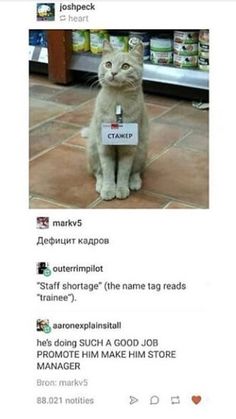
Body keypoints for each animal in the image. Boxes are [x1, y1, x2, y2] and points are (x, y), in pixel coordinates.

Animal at [85, 40, 148, 201]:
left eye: (125, 66)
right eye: (108, 64)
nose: (113, 72)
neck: (117, 102)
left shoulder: (129, 148)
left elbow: (124, 172)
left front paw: (121, 188)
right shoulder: (104, 147)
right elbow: (107, 171)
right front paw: (108, 189)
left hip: (141, 151)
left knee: (135, 171)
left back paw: (134, 182)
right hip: (93, 151)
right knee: (98, 173)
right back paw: (100, 185)